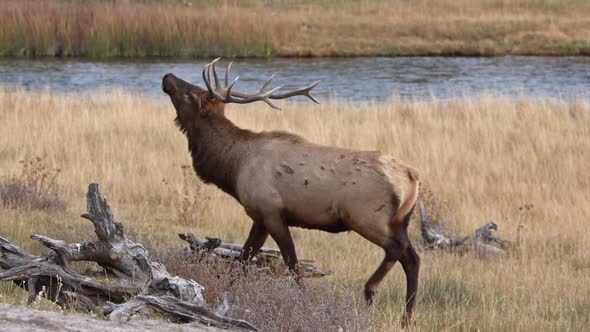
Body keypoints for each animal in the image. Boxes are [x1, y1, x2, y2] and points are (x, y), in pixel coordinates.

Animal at [162, 58, 420, 326]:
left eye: (191, 93)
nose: (167, 76)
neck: (233, 168)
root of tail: (411, 177)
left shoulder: (272, 213)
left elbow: (292, 264)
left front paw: (304, 304)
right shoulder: (259, 217)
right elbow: (243, 259)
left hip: (366, 217)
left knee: (398, 249)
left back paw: (371, 290)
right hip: (399, 221)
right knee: (413, 258)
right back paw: (407, 317)